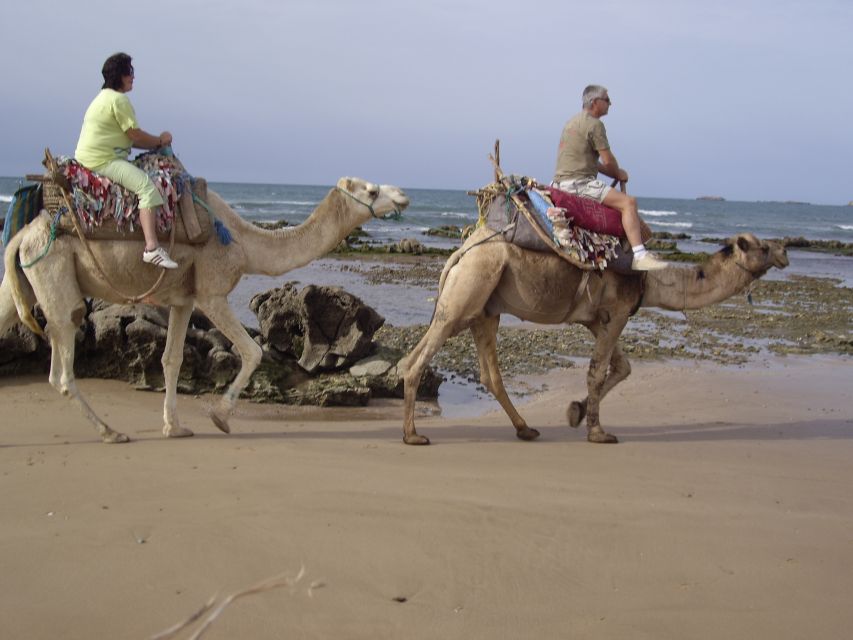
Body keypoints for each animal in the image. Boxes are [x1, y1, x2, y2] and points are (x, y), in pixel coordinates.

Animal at [0, 178, 410, 442]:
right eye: (372, 190)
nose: (404, 195)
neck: (244, 241)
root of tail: (23, 236)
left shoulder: (184, 298)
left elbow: (172, 359)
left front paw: (175, 427)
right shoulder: (212, 292)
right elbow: (253, 350)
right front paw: (219, 417)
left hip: (22, 280)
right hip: (56, 278)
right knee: (62, 370)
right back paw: (110, 432)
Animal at [396, 229, 788, 444]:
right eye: (763, 247)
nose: (785, 251)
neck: (650, 280)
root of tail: (459, 254)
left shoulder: (596, 319)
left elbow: (622, 366)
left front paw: (576, 411)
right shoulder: (618, 312)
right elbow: (598, 371)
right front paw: (598, 432)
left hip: (485, 309)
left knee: (488, 373)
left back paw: (526, 429)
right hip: (468, 291)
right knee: (417, 359)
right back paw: (413, 435)